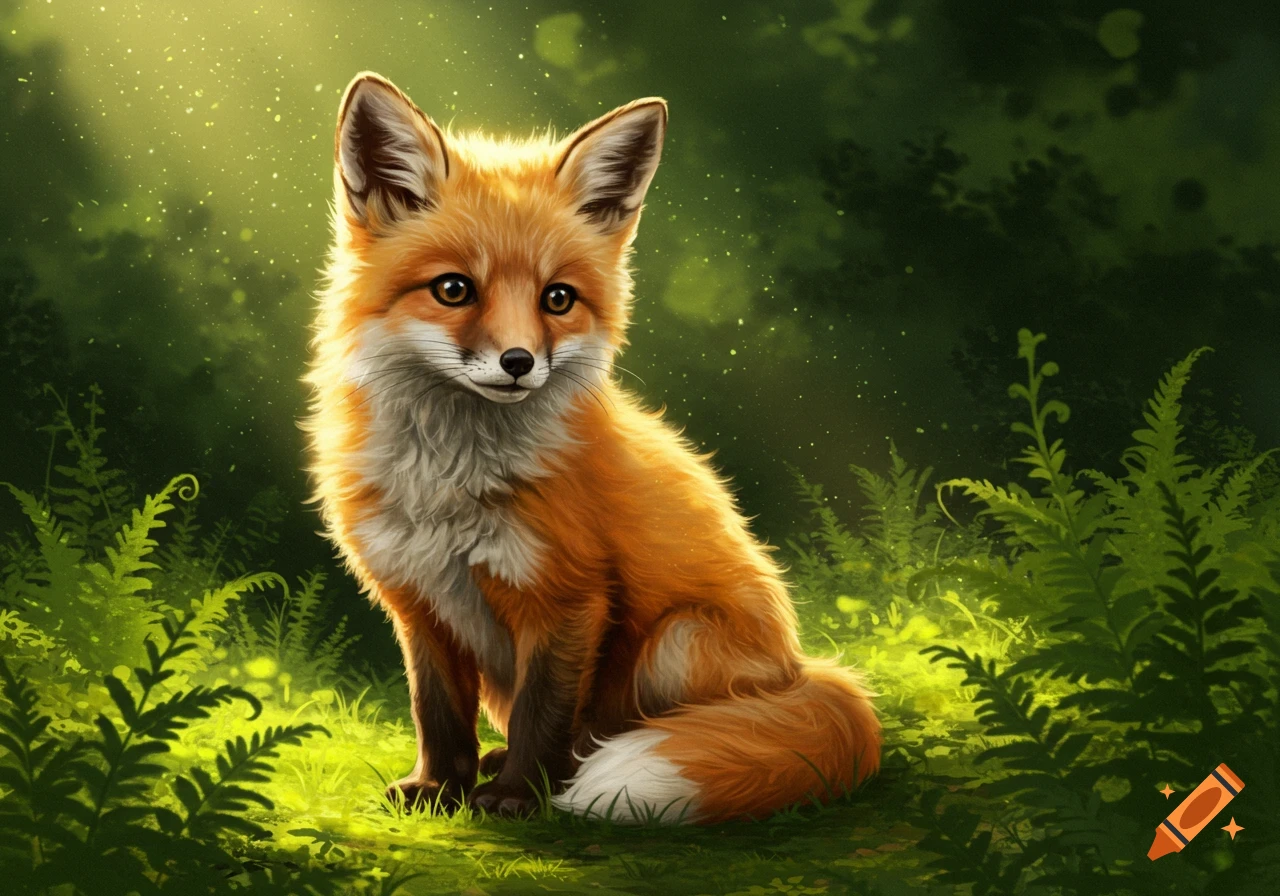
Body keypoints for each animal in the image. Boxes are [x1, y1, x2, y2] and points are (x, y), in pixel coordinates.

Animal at [303, 72, 880, 824]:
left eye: (558, 298)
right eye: (454, 289)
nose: (519, 363)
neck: (450, 484)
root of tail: (800, 669)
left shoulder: (569, 596)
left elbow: (542, 714)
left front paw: (516, 797)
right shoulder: (419, 601)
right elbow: (437, 714)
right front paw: (437, 790)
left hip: (675, 643)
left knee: (614, 730)